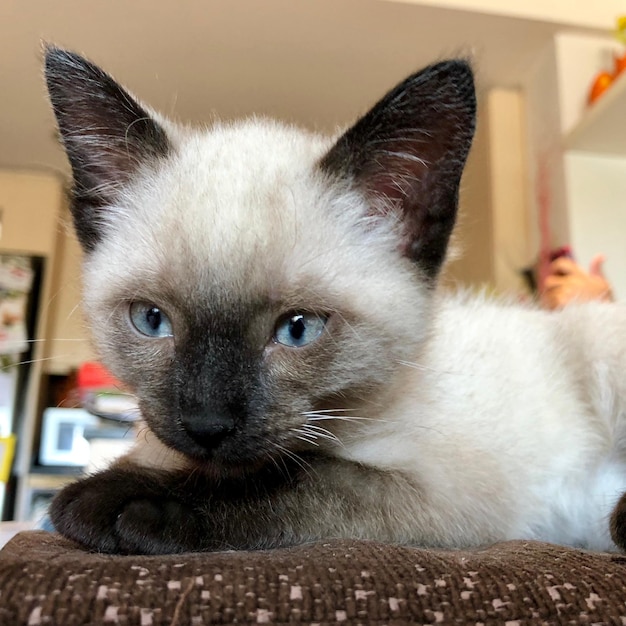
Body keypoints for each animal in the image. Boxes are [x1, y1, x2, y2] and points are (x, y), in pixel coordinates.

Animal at [45, 50, 624, 556]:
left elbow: (299, 476)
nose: (207, 423)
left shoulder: (445, 497)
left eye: (298, 329)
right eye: (151, 320)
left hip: (596, 349)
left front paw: (103, 503)